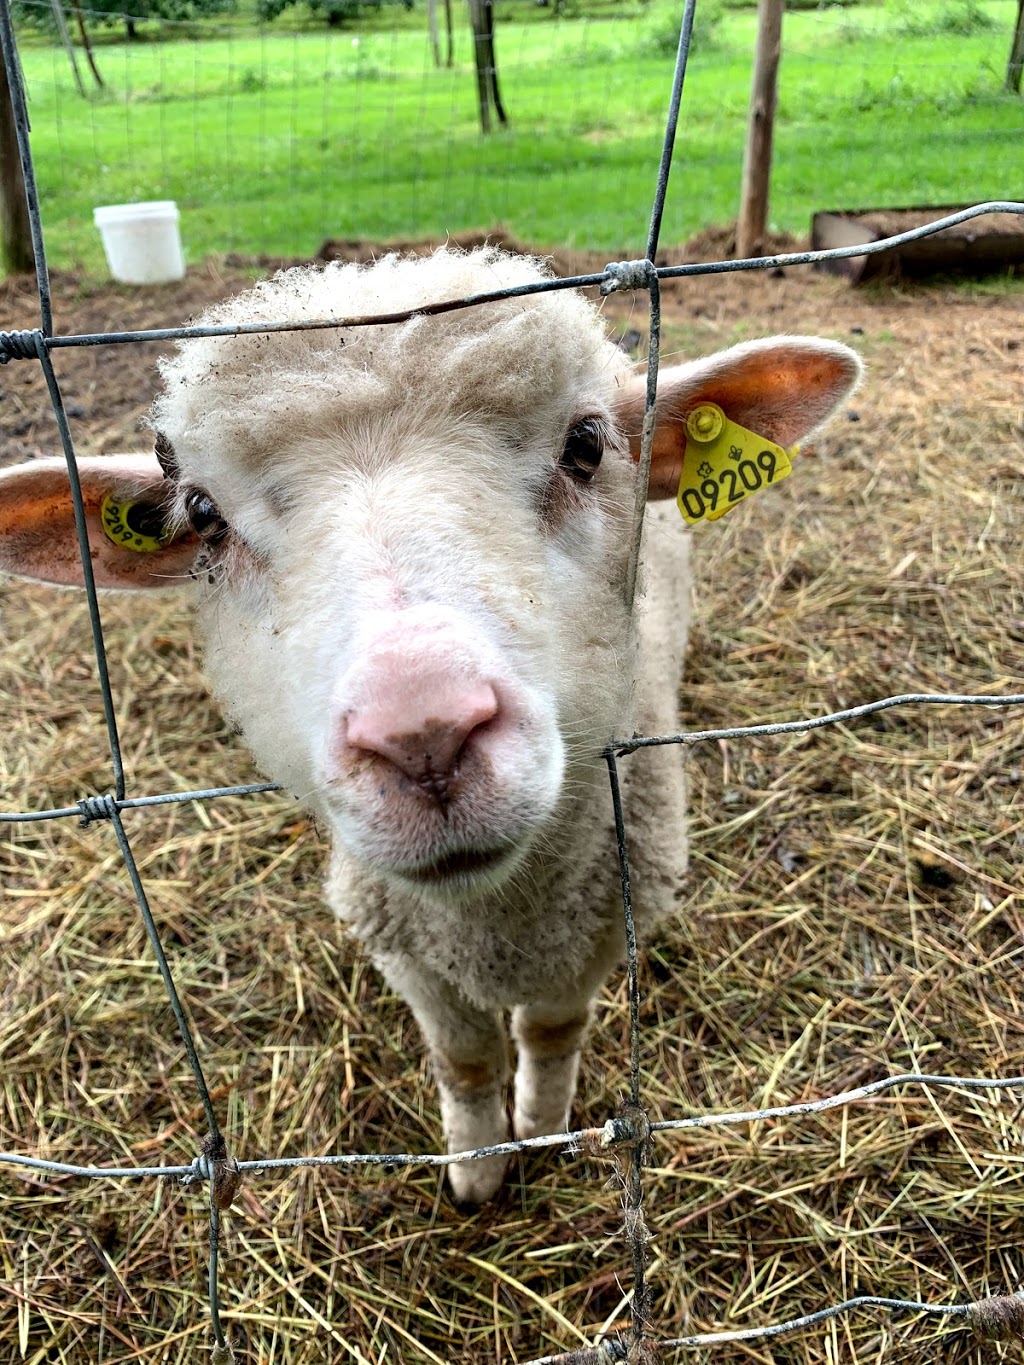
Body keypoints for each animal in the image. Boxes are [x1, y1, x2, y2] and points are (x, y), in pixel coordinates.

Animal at [0, 251, 862, 1201]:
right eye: (202, 516)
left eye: (587, 446)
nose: (425, 737)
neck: (498, 915)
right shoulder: (407, 948)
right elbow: (468, 1057)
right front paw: (478, 1166)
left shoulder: (603, 927)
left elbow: (549, 1035)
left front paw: (542, 1126)